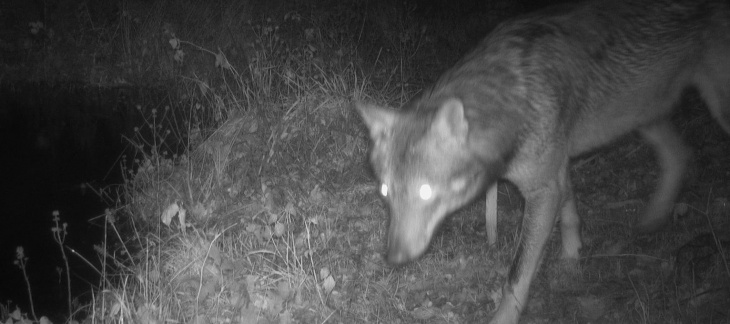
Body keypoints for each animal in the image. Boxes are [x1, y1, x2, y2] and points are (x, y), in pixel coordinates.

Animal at [354, 0, 728, 322]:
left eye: (426, 192)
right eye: (386, 192)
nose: (393, 258)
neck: (514, 99)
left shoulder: (543, 187)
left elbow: (516, 274)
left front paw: (504, 316)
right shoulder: (555, 170)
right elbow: (570, 213)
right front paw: (573, 258)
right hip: (642, 114)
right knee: (680, 154)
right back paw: (653, 218)